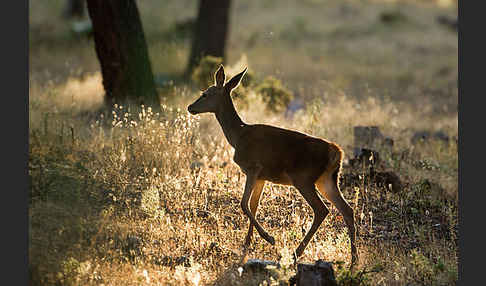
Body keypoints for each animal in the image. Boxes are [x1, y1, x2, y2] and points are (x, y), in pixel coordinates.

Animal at [188, 65, 358, 266]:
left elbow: (244, 203)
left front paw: (269, 238)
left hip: (303, 178)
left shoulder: (253, 167)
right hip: (327, 180)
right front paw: (247, 243)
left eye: (205, 94)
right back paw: (354, 259)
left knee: (322, 209)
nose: (190, 107)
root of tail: (337, 153)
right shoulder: (262, 177)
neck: (238, 137)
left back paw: (296, 252)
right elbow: (253, 205)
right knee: (347, 210)